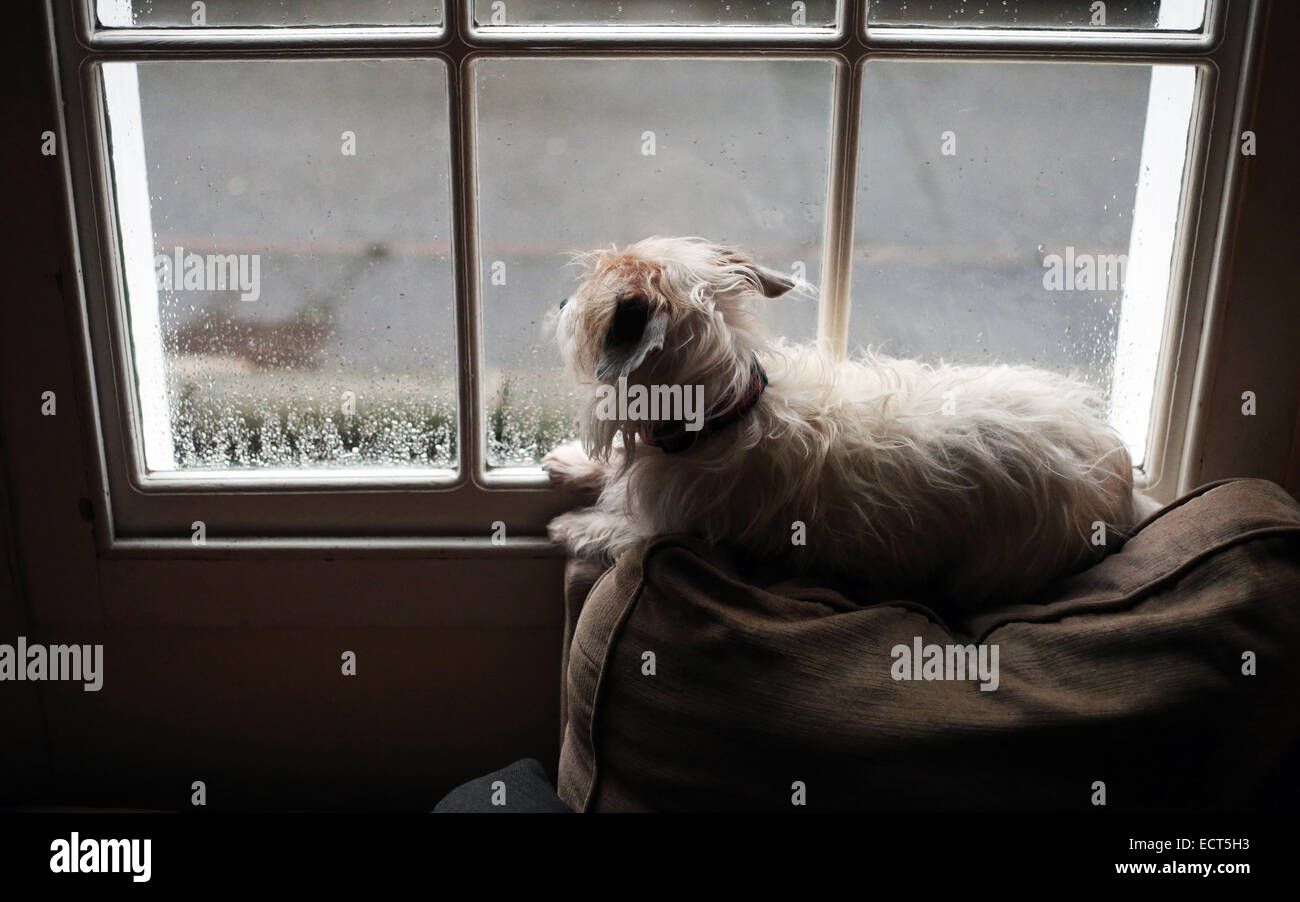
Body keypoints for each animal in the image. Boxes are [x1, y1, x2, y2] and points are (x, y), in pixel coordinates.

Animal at [546, 236, 1149, 610]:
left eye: (594, 292)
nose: (559, 301)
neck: (725, 412)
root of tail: (1121, 488)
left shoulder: (673, 526)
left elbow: (622, 528)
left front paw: (575, 525)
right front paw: (573, 466)